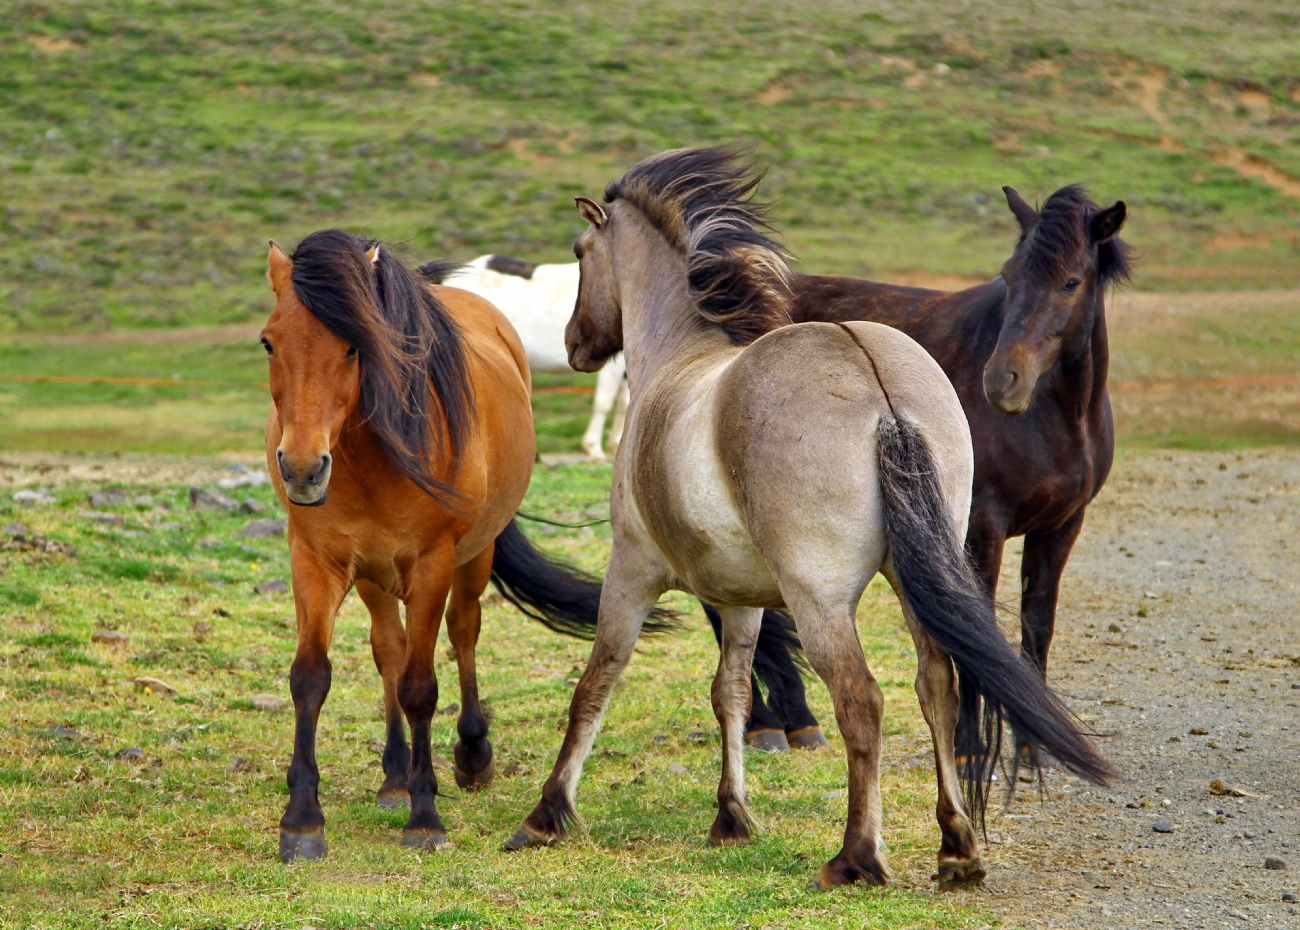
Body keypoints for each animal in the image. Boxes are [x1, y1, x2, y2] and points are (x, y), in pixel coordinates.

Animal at [506, 148, 1107, 889]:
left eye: (579, 253)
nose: (577, 345)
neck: (680, 360)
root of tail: (877, 384)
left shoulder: (631, 572)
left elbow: (598, 680)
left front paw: (547, 813)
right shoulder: (739, 597)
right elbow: (731, 693)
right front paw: (731, 816)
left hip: (821, 601)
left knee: (862, 699)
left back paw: (857, 857)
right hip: (918, 581)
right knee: (935, 684)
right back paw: (956, 847)